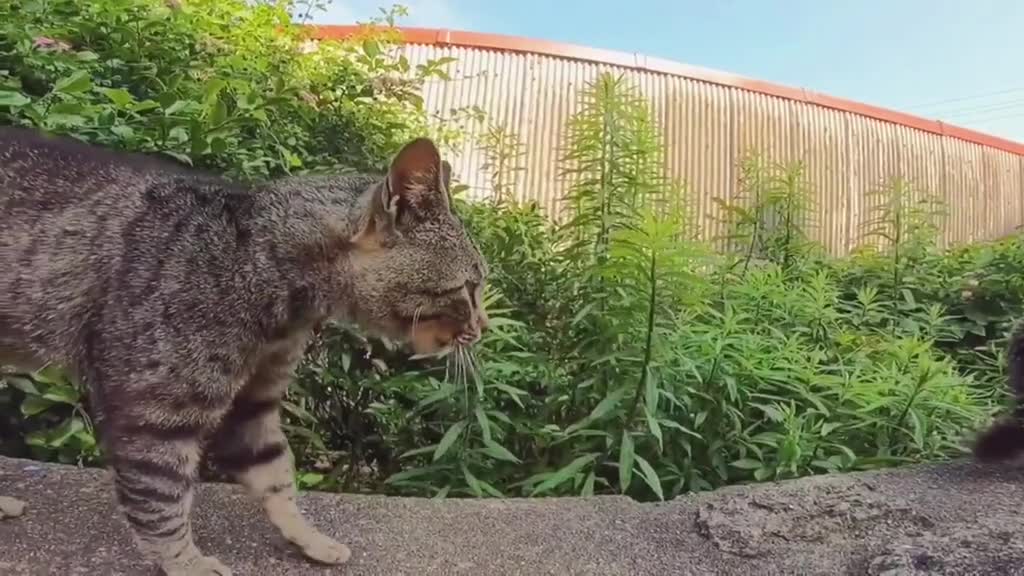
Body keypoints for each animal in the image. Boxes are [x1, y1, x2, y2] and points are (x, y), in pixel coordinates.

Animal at [0, 126, 489, 573]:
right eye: (470, 286)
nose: (483, 327)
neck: (260, 263)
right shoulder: (157, 414)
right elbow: (161, 500)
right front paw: (186, 563)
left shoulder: (253, 400)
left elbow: (275, 474)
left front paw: (308, 538)